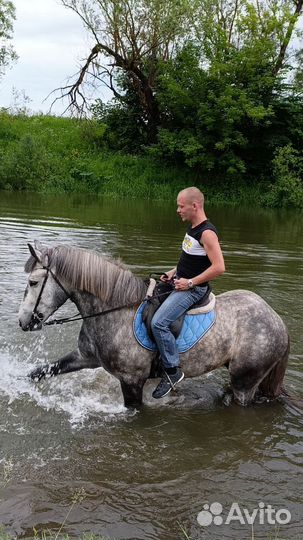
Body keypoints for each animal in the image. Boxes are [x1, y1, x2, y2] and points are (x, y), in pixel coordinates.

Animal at [18, 243, 290, 408]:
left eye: (33, 282)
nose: (23, 322)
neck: (115, 310)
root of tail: (277, 321)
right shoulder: (85, 357)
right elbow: (41, 371)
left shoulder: (132, 380)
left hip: (245, 381)